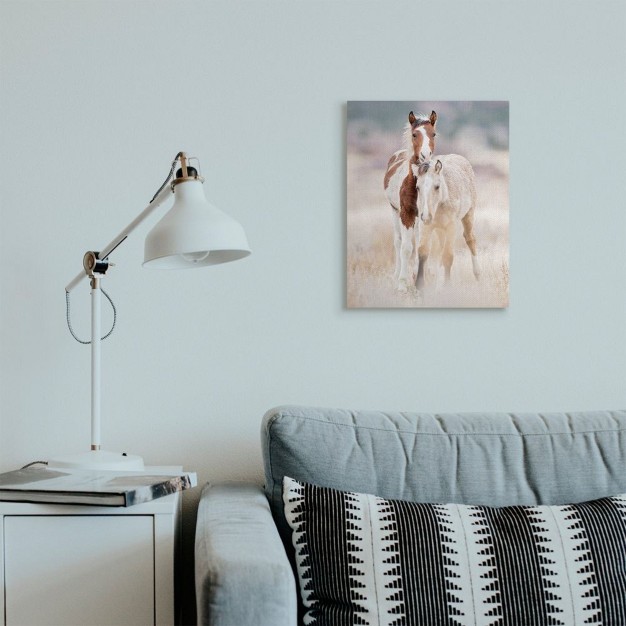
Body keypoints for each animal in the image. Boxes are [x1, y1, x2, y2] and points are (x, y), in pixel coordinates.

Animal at [380, 109, 434, 290]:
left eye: (433, 133)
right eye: (414, 134)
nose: (425, 156)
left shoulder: (426, 216)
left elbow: (422, 248)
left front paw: (423, 281)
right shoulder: (406, 214)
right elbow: (406, 247)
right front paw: (403, 284)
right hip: (394, 211)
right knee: (398, 242)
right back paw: (397, 275)